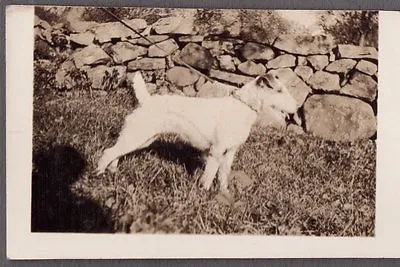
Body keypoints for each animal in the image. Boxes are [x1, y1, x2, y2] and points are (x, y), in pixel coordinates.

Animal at [96, 71, 296, 194]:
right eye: (279, 90)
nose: (296, 107)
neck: (243, 107)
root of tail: (146, 101)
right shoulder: (216, 151)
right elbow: (209, 175)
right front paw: (205, 194)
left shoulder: (230, 152)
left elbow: (223, 176)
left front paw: (224, 194)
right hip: (138, 135)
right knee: (108, 152)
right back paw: (98, 173)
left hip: (142, 138)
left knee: (117, 153)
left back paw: (113, 172)